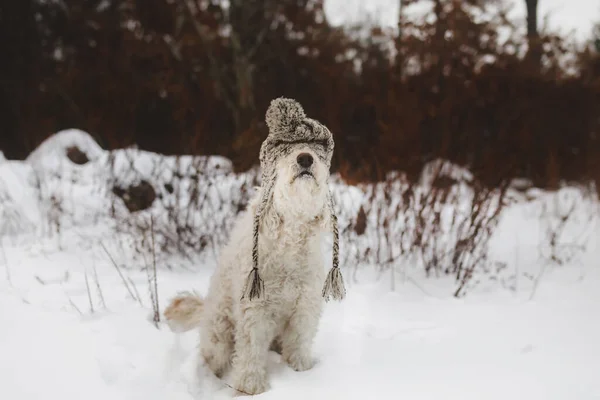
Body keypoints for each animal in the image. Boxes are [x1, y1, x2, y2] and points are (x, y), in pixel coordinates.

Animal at [163, 98, 346, 396]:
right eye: (287, 152)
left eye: (317, 153)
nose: (305, 158)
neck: (290, 231)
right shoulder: (254, 307)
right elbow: (250, 350)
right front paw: (251, 387)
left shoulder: (305, 306)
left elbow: (299, 341)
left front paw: (301, 373)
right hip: (220, 330)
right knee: (212, 355)